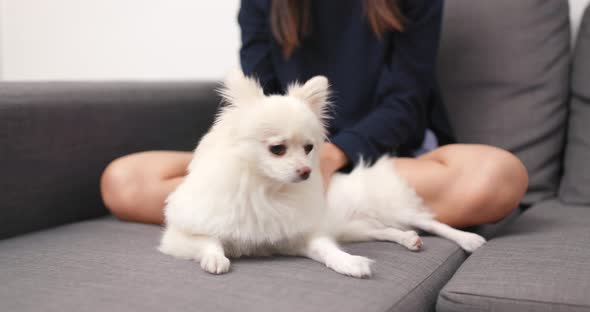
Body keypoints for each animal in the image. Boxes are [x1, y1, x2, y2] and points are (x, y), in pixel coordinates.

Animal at [160, 70, 488, 278]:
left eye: (308, 148)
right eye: (277, 149)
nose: (305, 171)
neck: (268, 192)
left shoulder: (305, 237)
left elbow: (328, 250)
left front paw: (350, 262)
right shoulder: (180, 236)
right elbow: (209, 241)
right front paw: (216, 258)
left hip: (395, 207)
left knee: (431, 223)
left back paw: (468, 239)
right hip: (358, 227)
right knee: (384, 230)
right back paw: (407, 239)